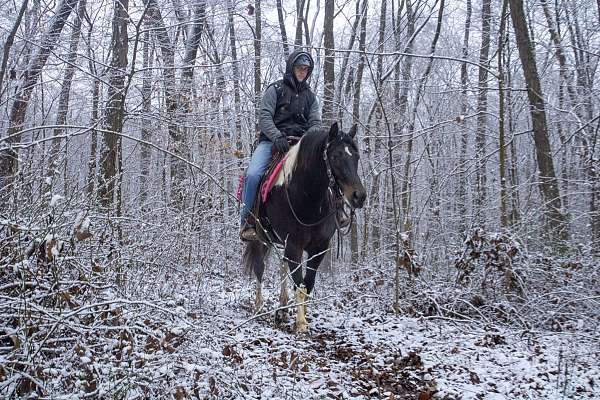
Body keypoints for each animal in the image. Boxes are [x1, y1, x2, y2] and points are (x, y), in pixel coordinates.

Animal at [243, 122, 366, 332]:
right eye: (335, 156)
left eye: (356, 156)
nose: (359, 196)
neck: (307, 197)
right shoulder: (294, 245)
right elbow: (299, 285)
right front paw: (300, 324)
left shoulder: (319, 247)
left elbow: (308, 283)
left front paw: (303, 316)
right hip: (261, 239)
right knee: (260, 268)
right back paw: (258, 307)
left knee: (283, 267)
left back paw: (282, 309)